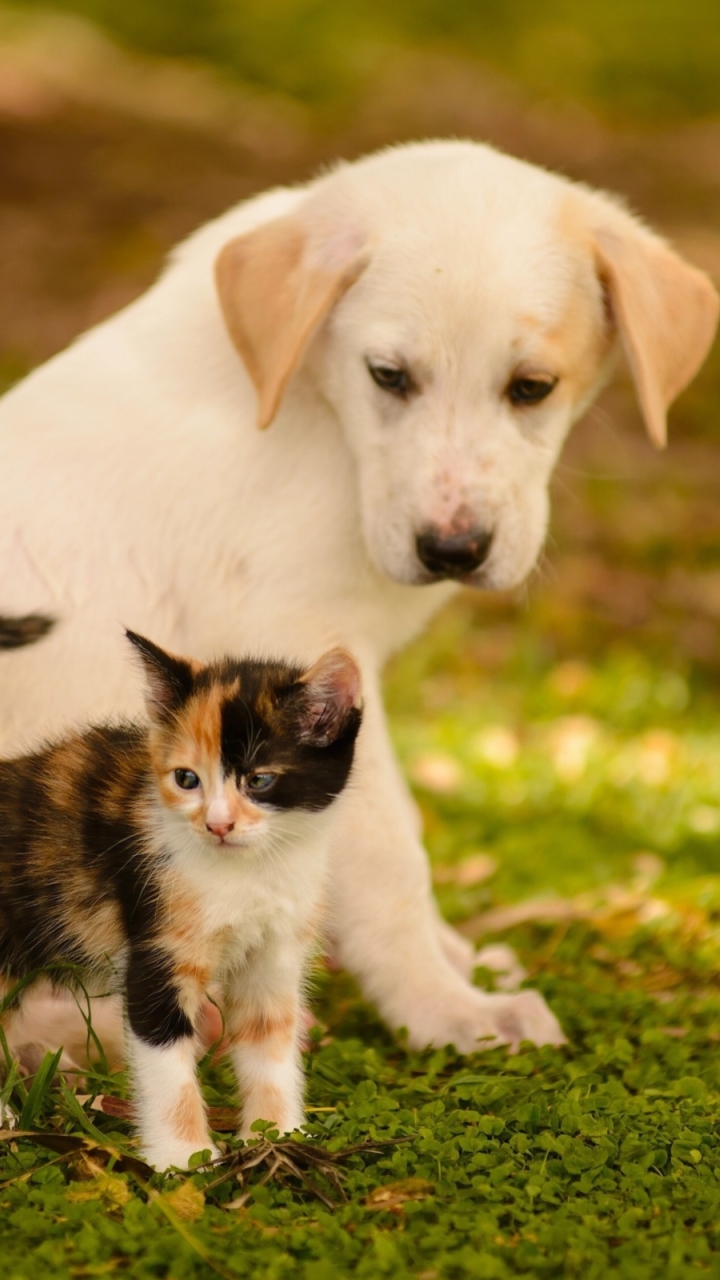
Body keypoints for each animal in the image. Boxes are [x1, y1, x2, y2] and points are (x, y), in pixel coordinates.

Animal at [0, 140, 712, 1059]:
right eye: (389, 376)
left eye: (533, 387)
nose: (453, 550)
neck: (311, 409)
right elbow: (386, 851)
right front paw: (447, 1008)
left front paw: (451, 959)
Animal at [0, 629, 358, 1172]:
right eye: (187, 779)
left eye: (260, 780)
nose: (217, 824)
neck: (249, 872)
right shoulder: (155, 941)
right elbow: (166, 1064)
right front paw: (184, 1159)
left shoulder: (275, 955)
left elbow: (270, 1040)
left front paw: (277, 1135)